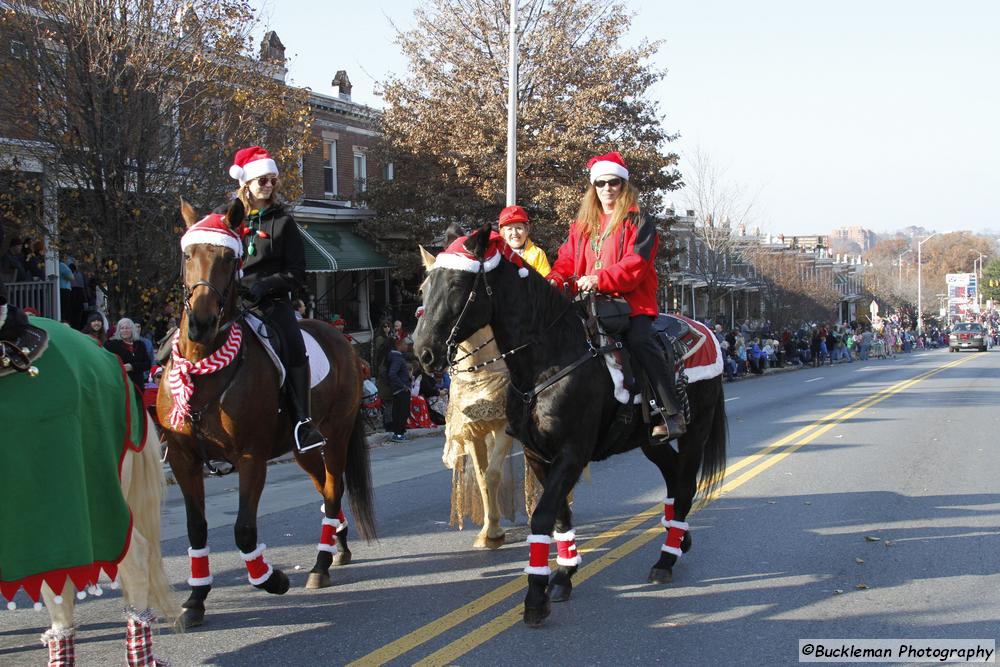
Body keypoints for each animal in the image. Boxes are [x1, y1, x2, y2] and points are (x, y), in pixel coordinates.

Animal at [156, 201, 376, 628]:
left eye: (229, 258)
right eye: (187, 254)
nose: (201, 322)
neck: (205, 368)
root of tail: (344, 340)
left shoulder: (251, 458)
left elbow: (243, 530)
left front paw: (271, 579)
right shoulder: (183, 460)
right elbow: (196, 529)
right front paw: (195, 600)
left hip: (336, 435)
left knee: (333, 488)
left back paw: (320, 564)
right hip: (303, 449)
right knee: (327, 489)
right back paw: (337, 547)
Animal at [414, 224, 728, 628]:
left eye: (455, 284)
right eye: (424, 287)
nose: (423, 352)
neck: (547, 360)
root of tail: (706, 329)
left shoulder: (571, 454)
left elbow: (542, 517)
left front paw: (535, 598)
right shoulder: (537, 455)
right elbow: (559, 518)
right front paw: (563, 577)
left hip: (695, 432)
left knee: (686, 484)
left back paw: (665, 559)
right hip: (650, 440)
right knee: (674, 479)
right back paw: (680, 538)